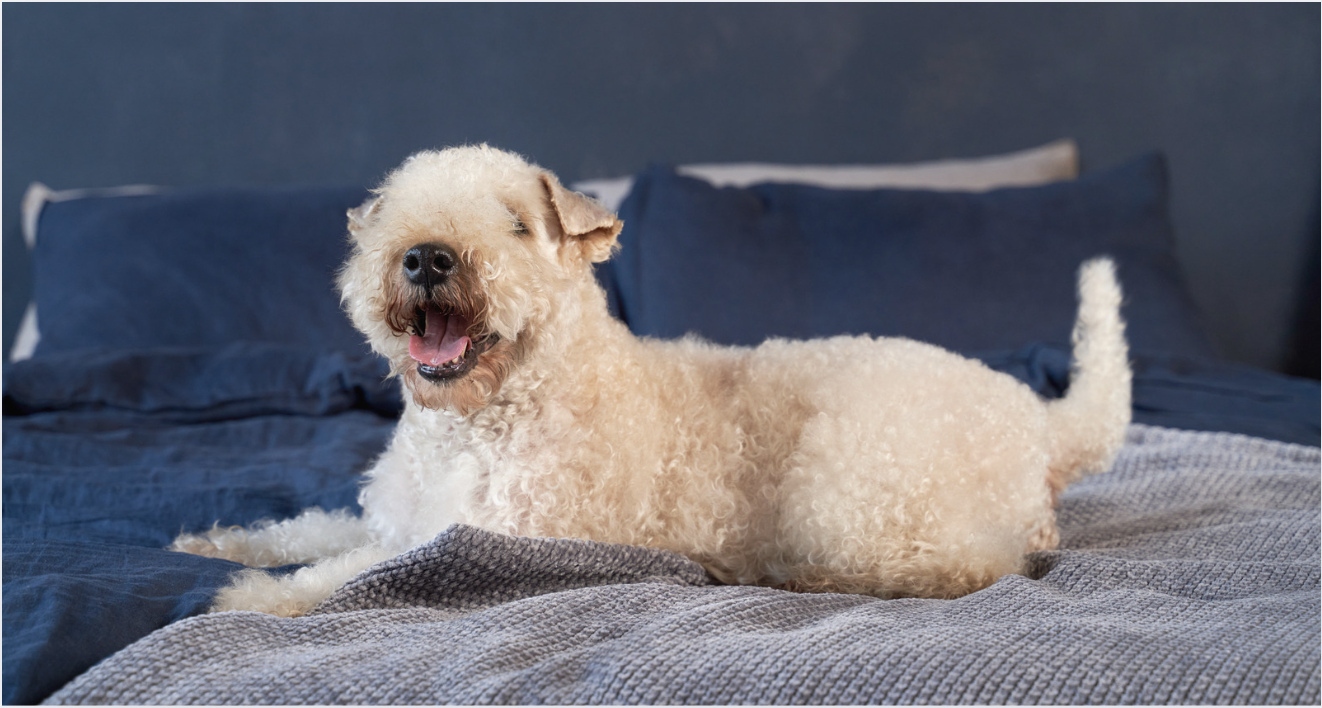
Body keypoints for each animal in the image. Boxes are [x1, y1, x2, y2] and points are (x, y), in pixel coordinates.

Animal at [170, 143, 1131, 612]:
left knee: (972, 566)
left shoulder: (484, 537)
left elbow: (347, 572)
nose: (427, 256)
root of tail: (1046, 425)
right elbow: (310, 529)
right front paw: (219, 544)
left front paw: (251, 597)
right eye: (394, 211)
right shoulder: (396, 516)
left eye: (517, 224)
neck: (480, 415)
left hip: (848, 492)